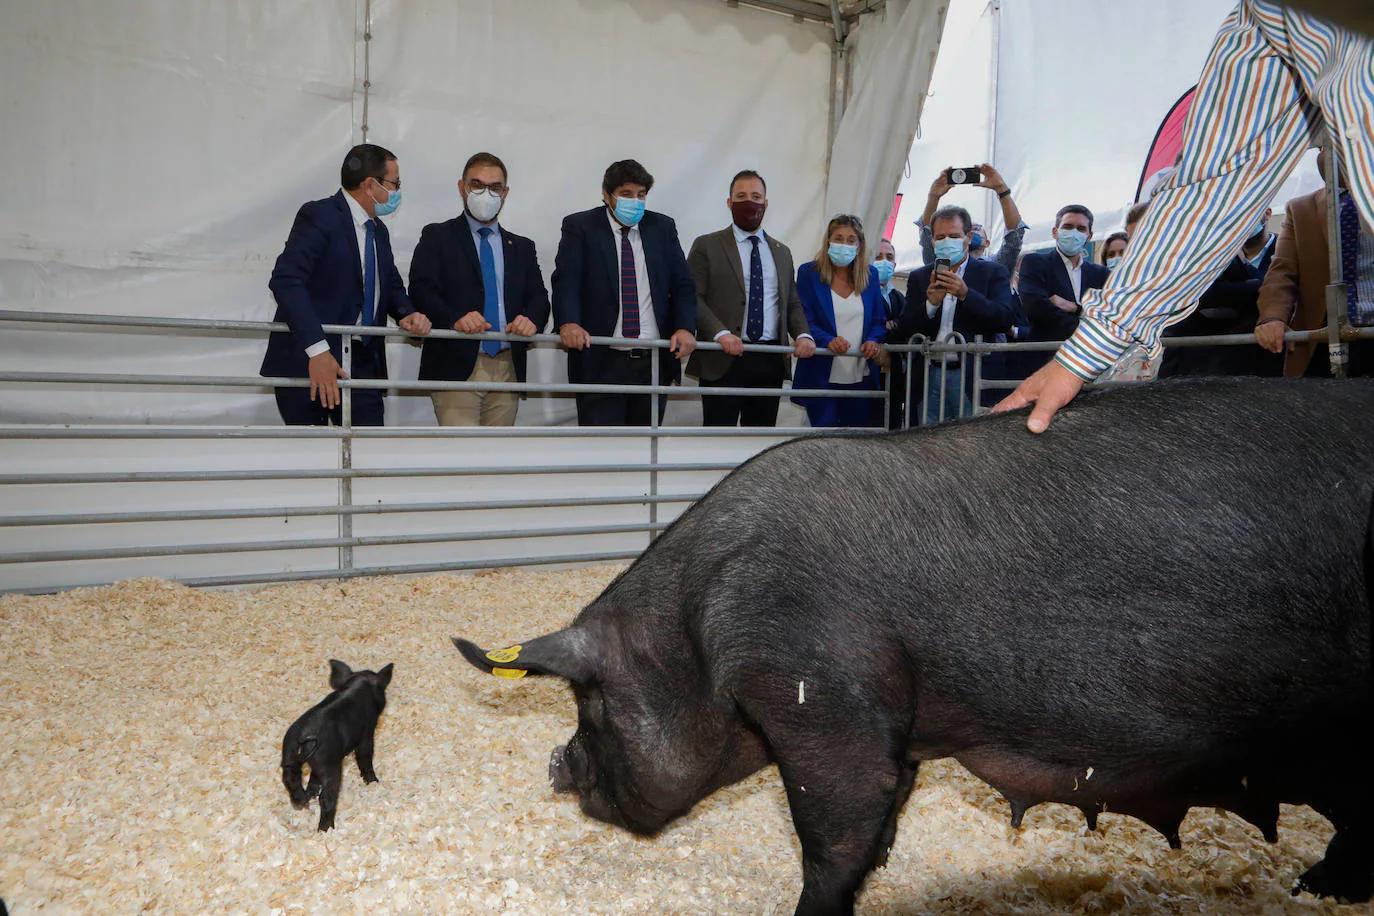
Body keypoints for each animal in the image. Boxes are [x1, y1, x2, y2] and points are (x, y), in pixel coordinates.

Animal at [453, 376, 1374, 911]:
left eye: (591, 706)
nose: (555, 766)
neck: (696, 632)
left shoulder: (818, 693)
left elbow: (837, 830)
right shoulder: (895, 716)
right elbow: (891, 802)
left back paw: (1317, 887)